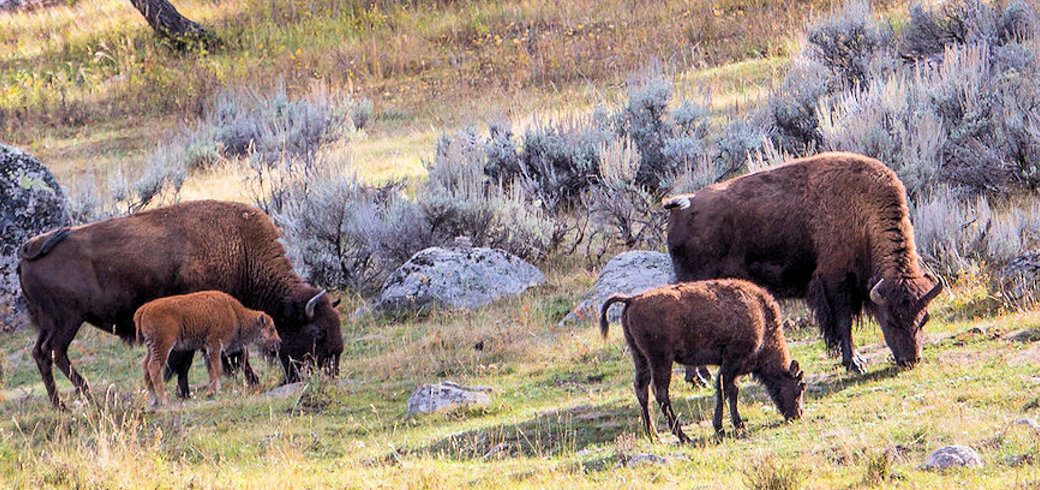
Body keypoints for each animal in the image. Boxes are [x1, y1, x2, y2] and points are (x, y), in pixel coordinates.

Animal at [18, 200, 343, 408]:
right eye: (317, 332)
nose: (333, 370)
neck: (241, 249)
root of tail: (30, 247)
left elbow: (197, 355)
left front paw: (183, 390)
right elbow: (221, 355)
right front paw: (245, 383)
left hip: (49, 324)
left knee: (41, 353)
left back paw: (60, 403)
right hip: (68, 320)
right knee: (56, 352)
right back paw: (85, 397)